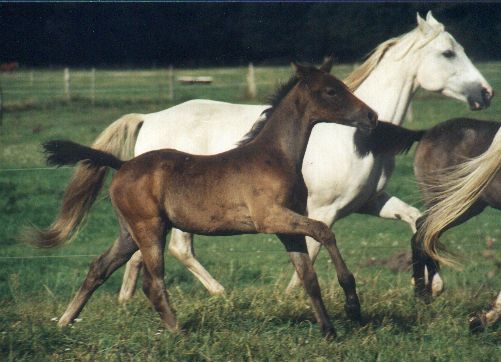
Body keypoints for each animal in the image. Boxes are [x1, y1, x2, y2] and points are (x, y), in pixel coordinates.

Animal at [37, 63, 376, 338]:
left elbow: (309, 278)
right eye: (332, 90)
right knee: (152, 282)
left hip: (129, 233)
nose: (371, 116)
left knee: (99, 268)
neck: (275, 157)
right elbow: (324, 231)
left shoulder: (286, 227)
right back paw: (179, 331)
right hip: (149, 229)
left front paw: (329, 331)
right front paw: (352, 304)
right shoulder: (270, 218)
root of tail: (122, 165)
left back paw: (65, 322)